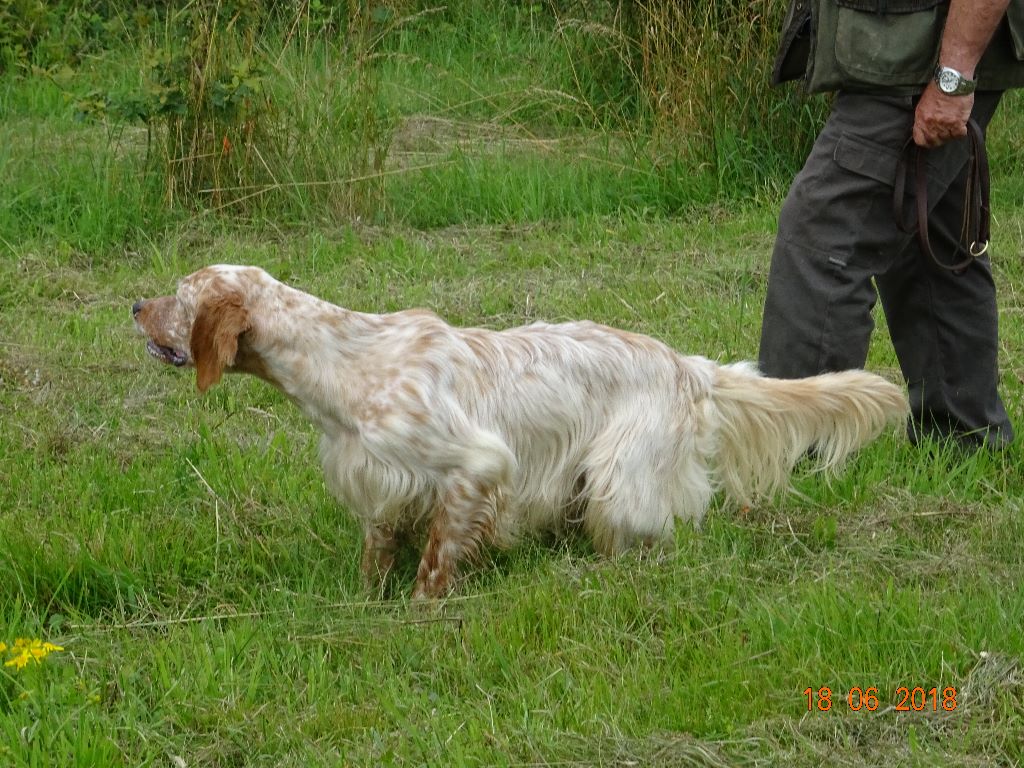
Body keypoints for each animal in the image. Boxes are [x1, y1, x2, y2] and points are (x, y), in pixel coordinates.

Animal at [132, 268, 909, 598]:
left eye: (179, 295)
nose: (135, 303)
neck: (347, 362)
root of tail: (689, 366)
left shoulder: (475, 466)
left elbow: (436, 561)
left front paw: (423, 612)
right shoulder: (381, 482)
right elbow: (378, 551)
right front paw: (367, 599)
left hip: (619, 482)